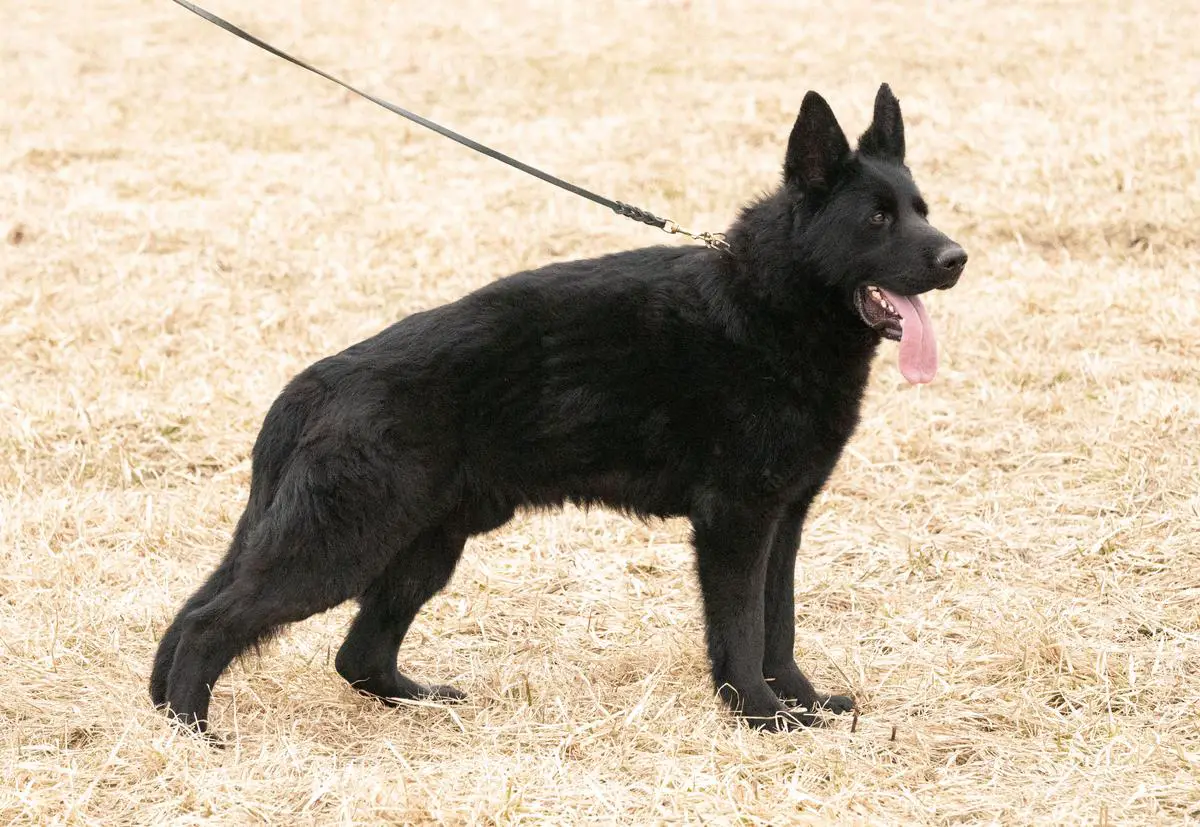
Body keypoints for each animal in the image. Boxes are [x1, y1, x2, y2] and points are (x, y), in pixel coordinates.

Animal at [151, 84, 966, 735]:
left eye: (920, 210)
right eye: (876, 220)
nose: (957, 258)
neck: (769, 305)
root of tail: (314, 382)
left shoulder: (782, 522)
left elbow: (780, 622)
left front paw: (800, 700)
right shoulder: (736, 522)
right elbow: (742, 627)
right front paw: (763, 715)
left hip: (423, 547)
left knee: (348, 653)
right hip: (340, 546)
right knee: (210, 623)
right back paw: (192, 731)